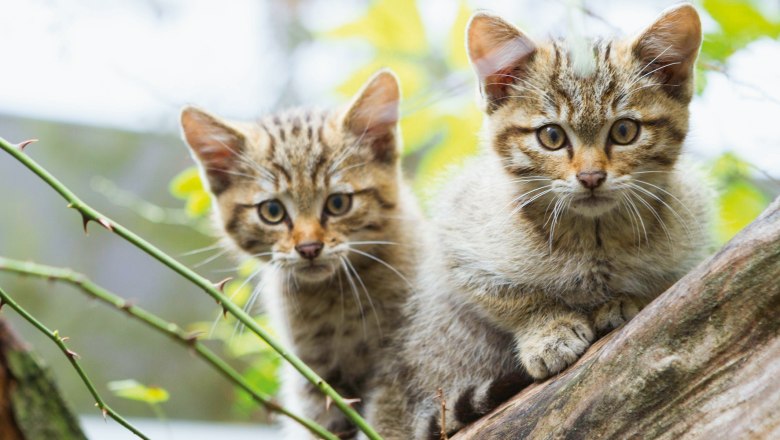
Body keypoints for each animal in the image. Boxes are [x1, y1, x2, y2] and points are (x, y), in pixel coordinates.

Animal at [178, 70, 420, 438]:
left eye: (338, 203)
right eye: (272, 211)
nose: (308, 247)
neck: (335, 300)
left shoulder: (405, 347)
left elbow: (394, 403)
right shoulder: (313, 377)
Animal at [364, 4, 712, 440]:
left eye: (624, 130)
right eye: (551, 136)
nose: (592, 177)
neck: (593, 240)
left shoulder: (689, 227)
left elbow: (665, 286)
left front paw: (626, 299)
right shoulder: (456, 235)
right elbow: (511, 296)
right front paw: (548, 331)